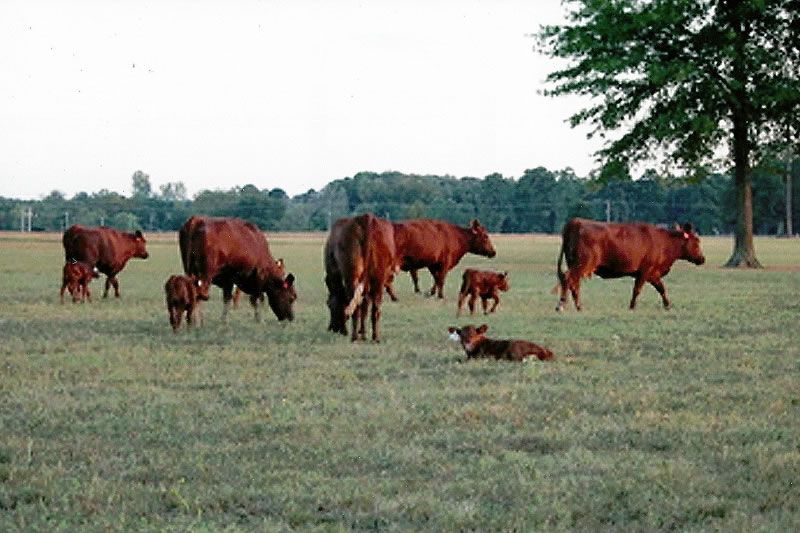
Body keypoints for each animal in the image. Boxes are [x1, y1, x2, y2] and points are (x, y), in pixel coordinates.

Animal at [324, 212, 396, 340]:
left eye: (328, 305)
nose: (332, 329)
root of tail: (366, 218)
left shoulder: (334, 273)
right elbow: (365, 305)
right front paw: (363, 332)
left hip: (351, 274)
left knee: (356, 306)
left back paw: (354, 337)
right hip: (378, 276)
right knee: (375, 307)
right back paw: (375, 337)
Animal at [552, 217, 704, 312]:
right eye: (696, 241)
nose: (702, 259)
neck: (664, 242)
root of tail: (576, 222)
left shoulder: (652, 273)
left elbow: (661, 289)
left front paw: (667, 305)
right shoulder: (645, 271)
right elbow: (637, 290)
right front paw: (632, 307)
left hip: (576, 265)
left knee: (573, 283)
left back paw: (578, 306)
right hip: (582, 264)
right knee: (568, 279)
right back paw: (562, 305)